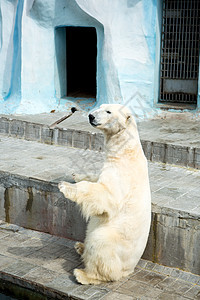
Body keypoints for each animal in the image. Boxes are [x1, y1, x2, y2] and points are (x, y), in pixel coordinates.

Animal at [58, 104, 151, 284]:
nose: (91, 116)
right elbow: (95, 178)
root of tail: (128, 271)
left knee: (99, 244)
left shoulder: (122, 175)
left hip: (114, 240)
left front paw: (64, 186)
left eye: (108, 111)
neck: (126, 151)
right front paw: (75, 175)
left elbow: (105, 194)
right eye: (100, 107)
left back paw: (83, 274)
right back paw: (80, 246)